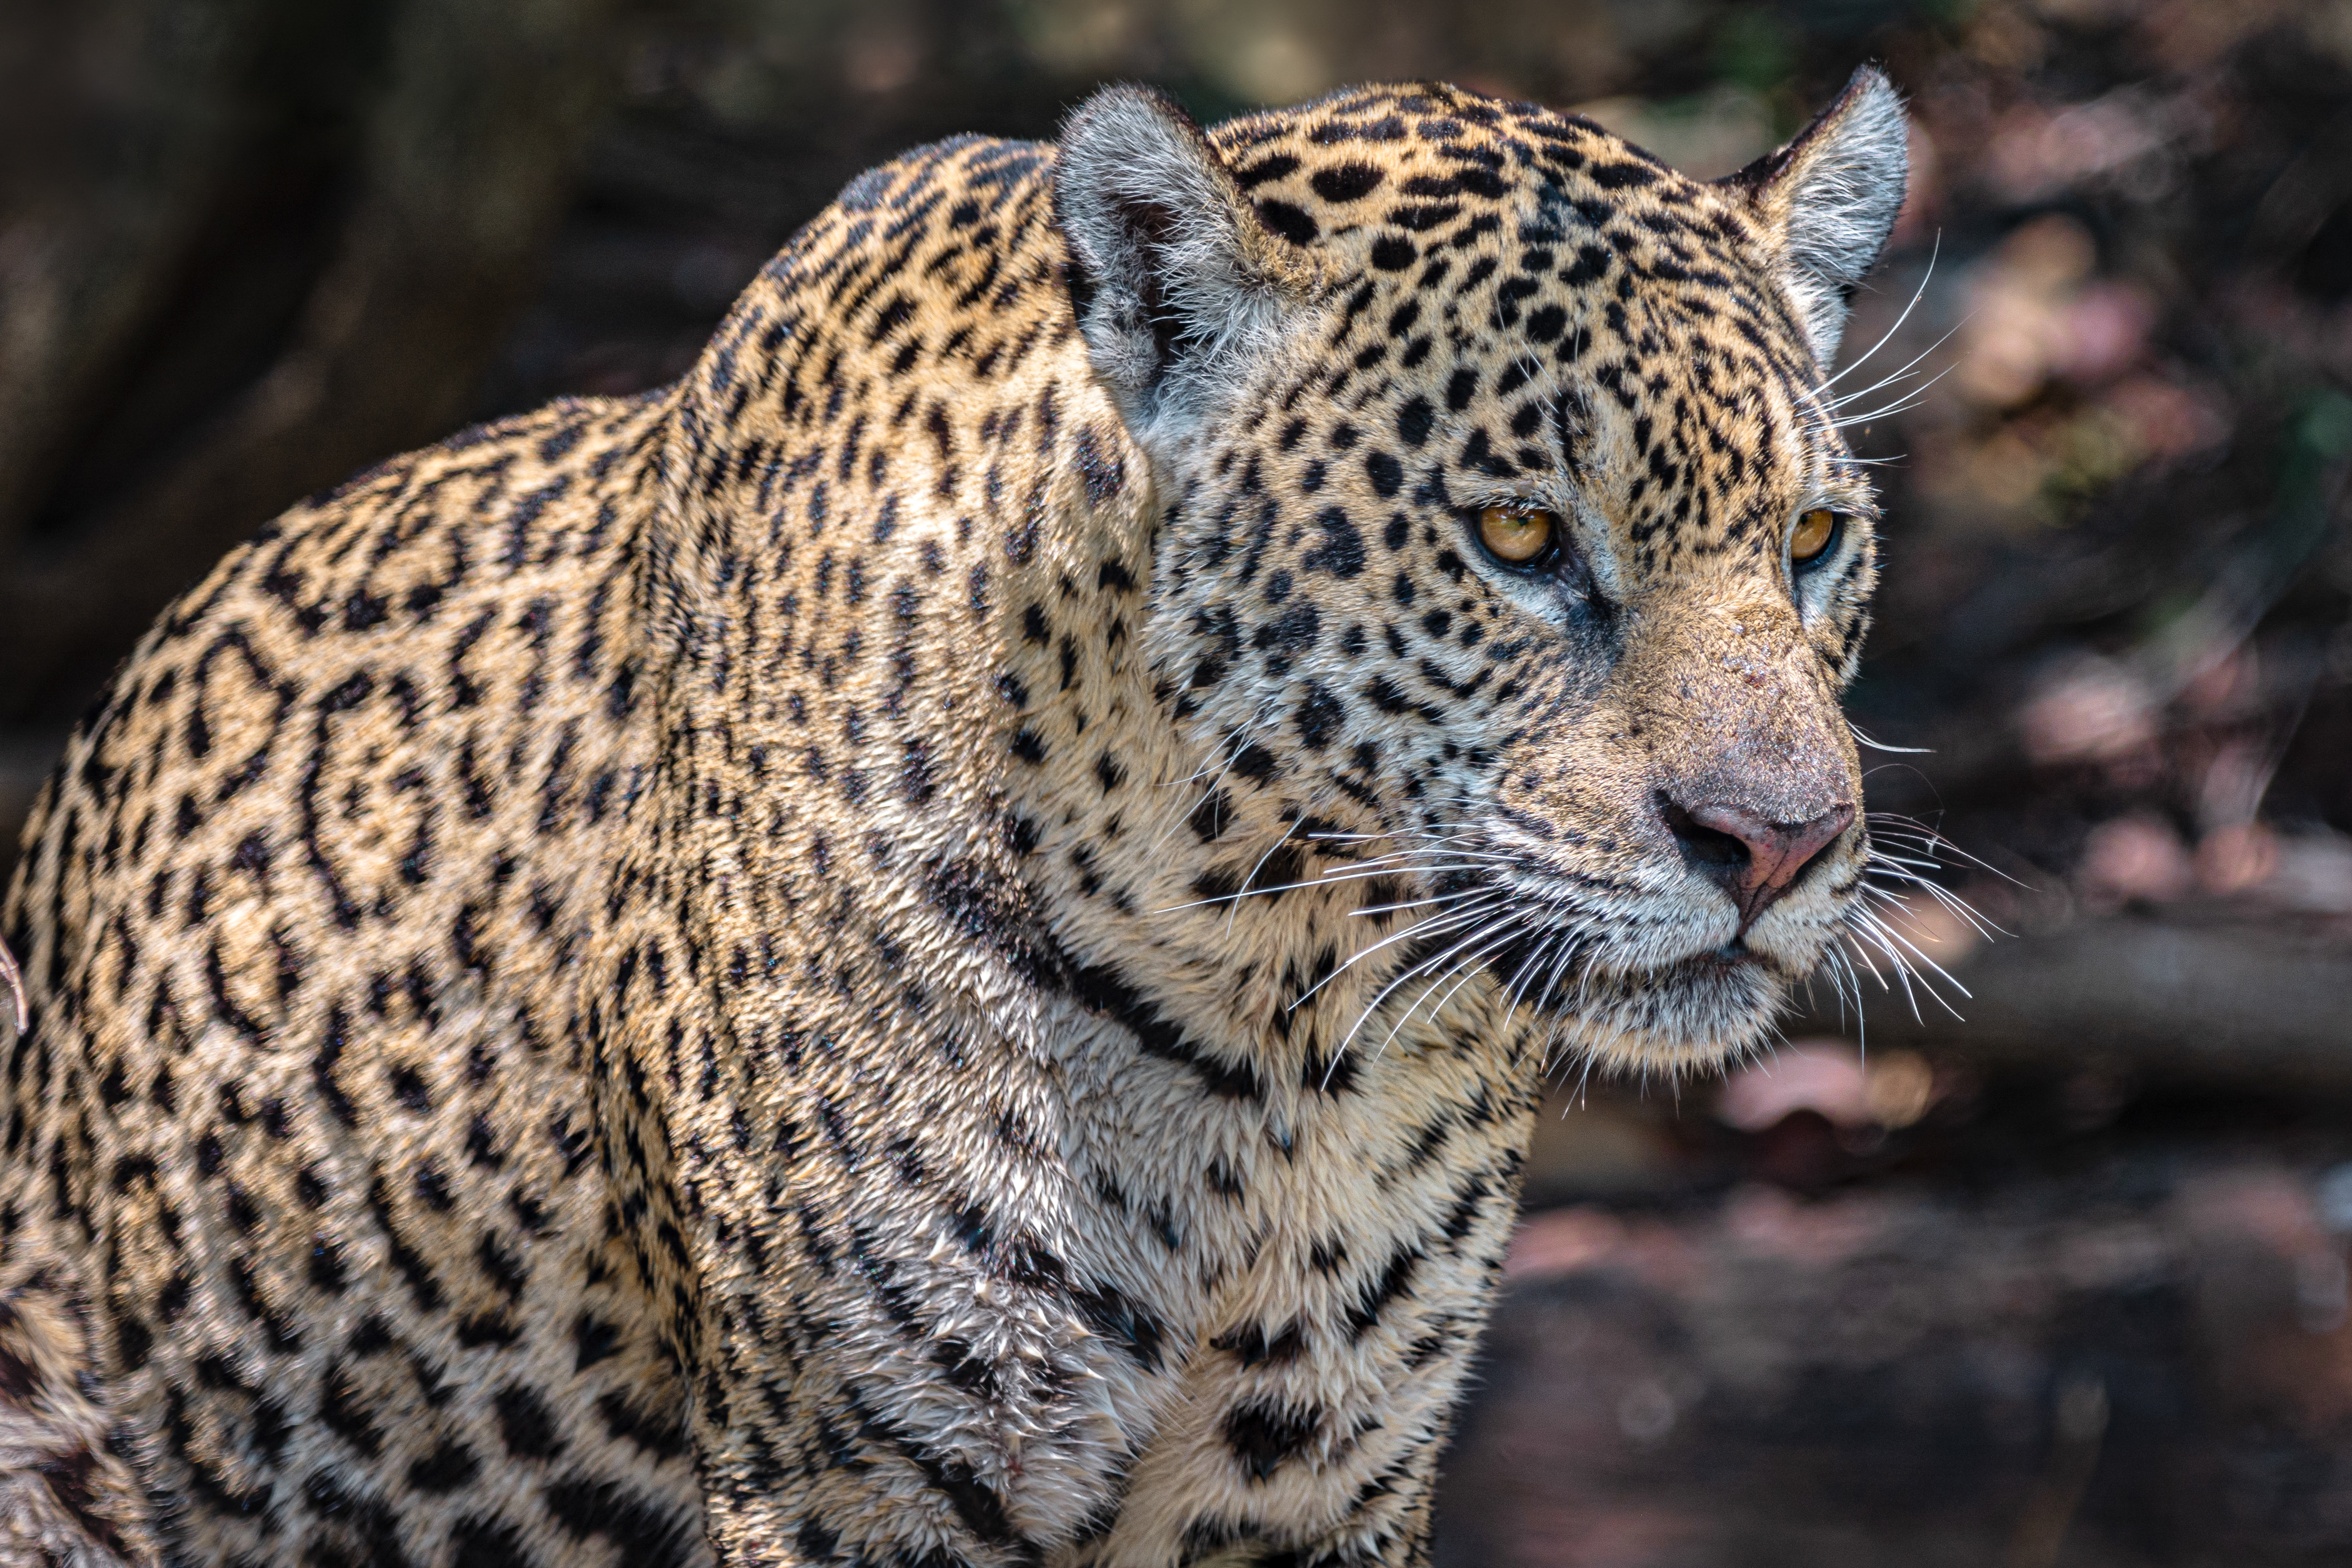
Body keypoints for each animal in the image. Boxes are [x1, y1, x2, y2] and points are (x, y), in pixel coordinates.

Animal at [0, 65, 1908, 1568]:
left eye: (1811, 538)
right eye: (1516, 537)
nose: (1778, 843)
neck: (1283, 1028)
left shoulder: (1319, 1486)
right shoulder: (851, 1484)